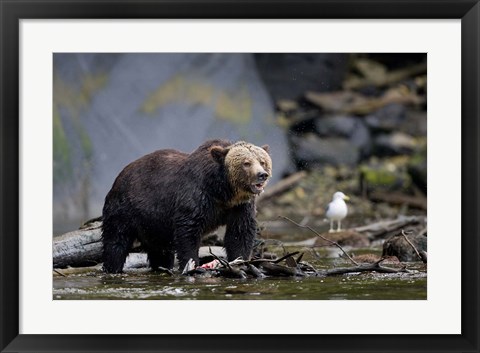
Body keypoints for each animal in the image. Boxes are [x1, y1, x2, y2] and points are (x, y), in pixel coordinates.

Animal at [100, 138, 274, 272]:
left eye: (262, 161)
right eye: (246, 163)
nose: (262, 175)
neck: (223, 191)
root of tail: (119, 176)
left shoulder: (240, 206)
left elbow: (240, 232)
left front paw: (241, 261)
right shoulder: (196, 196)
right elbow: (188, 232)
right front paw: (192, 265)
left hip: (153, 223)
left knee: (160, 250)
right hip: (126, 208)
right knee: (116, 242)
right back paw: (112, 268)